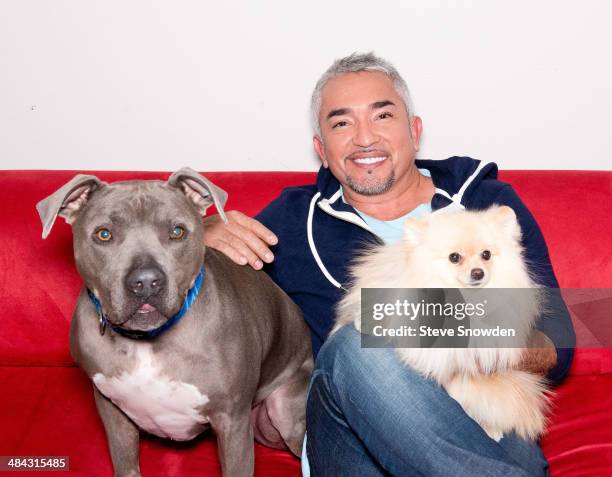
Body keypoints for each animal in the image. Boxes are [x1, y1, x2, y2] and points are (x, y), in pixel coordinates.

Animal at [37, 169, 314, 476]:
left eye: (177, 231)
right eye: (104, 234)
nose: (146, 282)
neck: (147, 342)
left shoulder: (233, 422)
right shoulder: (112, 412)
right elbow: (126, 464)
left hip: (284, 413)